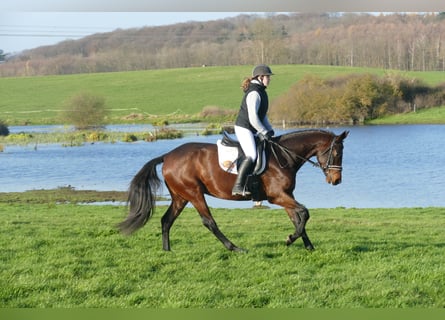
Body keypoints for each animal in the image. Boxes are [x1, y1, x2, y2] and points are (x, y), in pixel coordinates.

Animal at [119, 129, 348, 251]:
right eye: (336, 153)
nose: (336, 180)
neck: (284, 156)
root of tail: (167, 155)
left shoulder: (287, 196)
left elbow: (298, 217)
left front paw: (308, 246)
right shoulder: (277, 197)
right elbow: (304, 213)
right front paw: (291, 239)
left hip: (180, 196)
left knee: (167, 220)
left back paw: (167, 250)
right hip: (194, 193)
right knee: (209, 222)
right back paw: (234, 248)